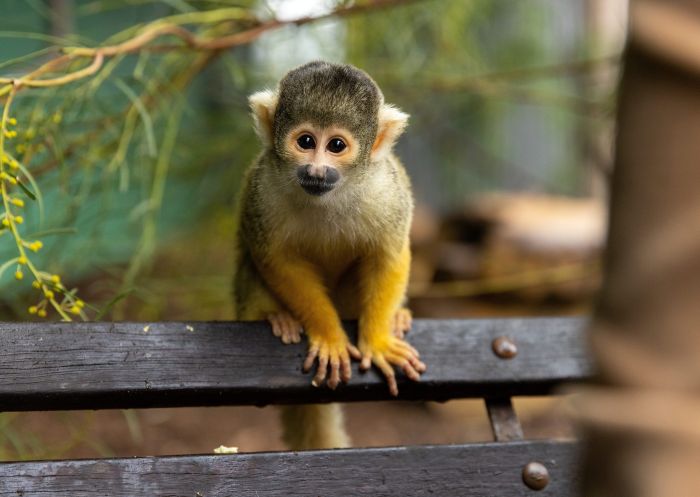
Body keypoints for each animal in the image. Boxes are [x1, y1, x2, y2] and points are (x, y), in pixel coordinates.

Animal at [232, 61, 425, 450]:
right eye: (306, 142)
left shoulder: (386, 190)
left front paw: (378, 340)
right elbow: (276, 259)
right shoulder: (264, 189)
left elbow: (390, 253)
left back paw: (395, 316)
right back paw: (273, 315)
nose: (317, 170)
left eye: (336, 145)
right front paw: (330, 336)